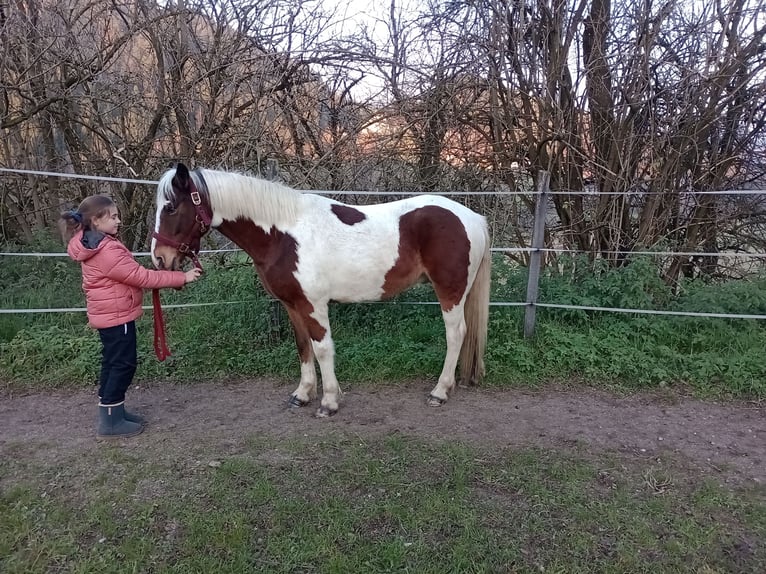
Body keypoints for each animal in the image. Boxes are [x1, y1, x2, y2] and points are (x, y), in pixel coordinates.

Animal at [150, 164, 492, 416]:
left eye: (171, 207)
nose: (159, 258)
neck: (283, 234)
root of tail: (473, 218)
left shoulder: (314, 304)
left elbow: (323, 348)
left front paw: (328, 402)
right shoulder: (292, 304)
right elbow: (303, 347)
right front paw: (302, 395)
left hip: (450, 292)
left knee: (456, 334)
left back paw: (439, 392)